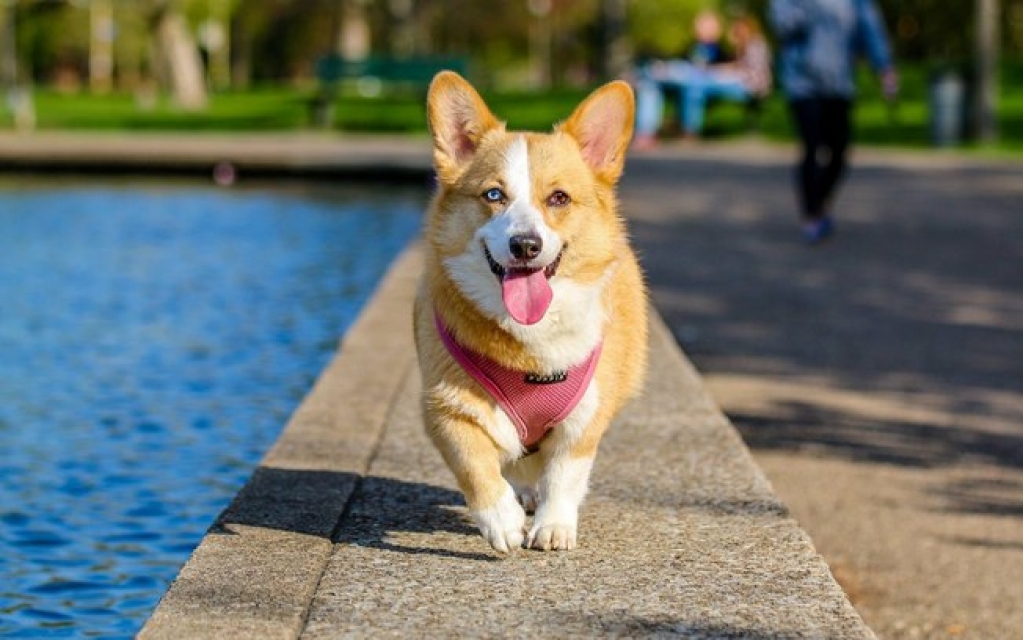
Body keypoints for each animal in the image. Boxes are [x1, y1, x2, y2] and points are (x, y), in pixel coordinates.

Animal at [409, 72, 642, 552]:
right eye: (494, 194)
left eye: (559, 198)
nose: (526, 245)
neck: (530, 342)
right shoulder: (445, 407)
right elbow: (474, 465)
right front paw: (501, 520)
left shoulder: (585, 417)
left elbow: (565, 475)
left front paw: (553, 527)